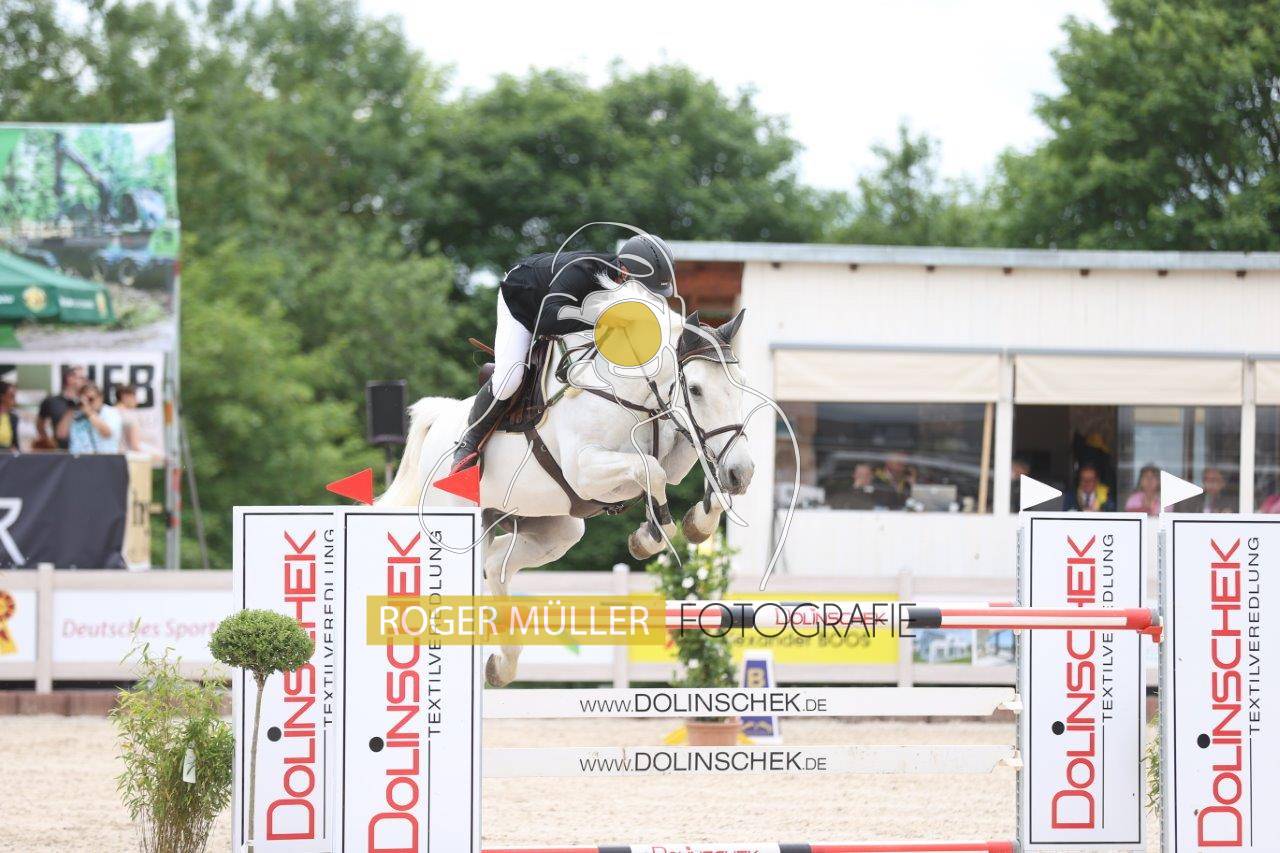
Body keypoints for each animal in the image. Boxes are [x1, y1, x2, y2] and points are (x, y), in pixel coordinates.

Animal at [379, 289, 754, 686]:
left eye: (740, 385)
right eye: (695, 389)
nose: (742, 473)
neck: (630, 394)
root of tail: (439, 420)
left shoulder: (674, 450)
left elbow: (683, 469)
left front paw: (697, 522)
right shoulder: (586, 470)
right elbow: (652, 472)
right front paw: (652, 534)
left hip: (554, 527)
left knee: (496, 565)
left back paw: (503, 663)